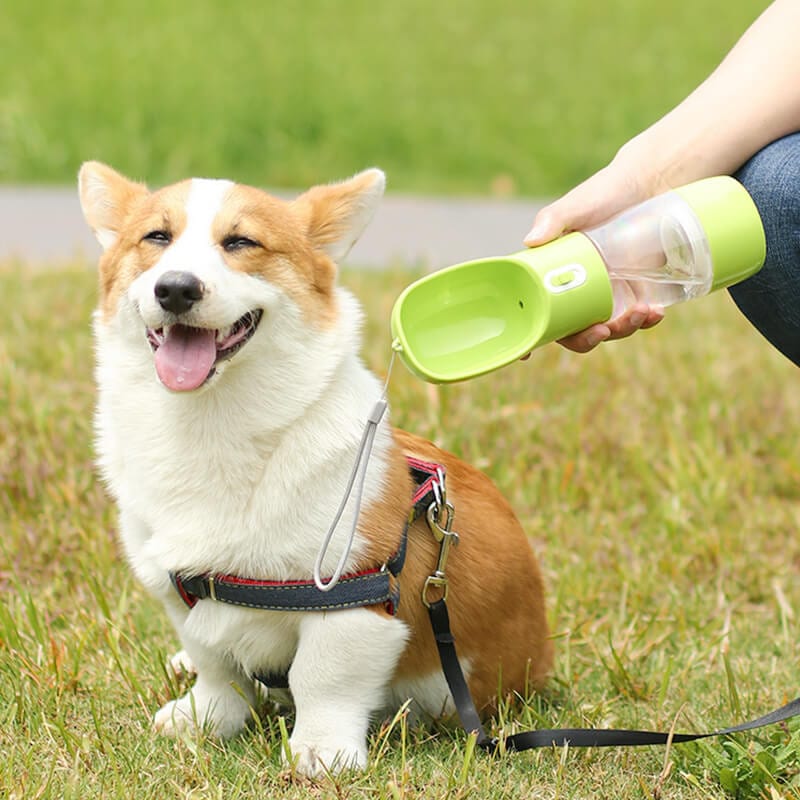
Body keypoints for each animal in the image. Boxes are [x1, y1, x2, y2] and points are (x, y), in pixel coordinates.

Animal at [81, 159, 552, 780]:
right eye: (156, 237)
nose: (176, 287)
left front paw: (321, 754)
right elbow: (216, 667)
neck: (212, 426)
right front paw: (203, 720)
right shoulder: (180, 590)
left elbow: (322, 678)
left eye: (241, 242)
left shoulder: (353, 600)